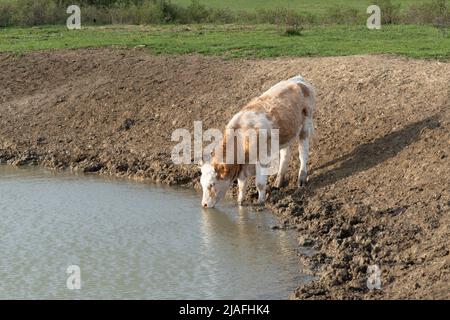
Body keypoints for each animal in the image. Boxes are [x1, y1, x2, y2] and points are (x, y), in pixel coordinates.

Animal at [200, 76, 316, 209]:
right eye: (201, 184)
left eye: (212, 184)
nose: (204, 204)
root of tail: (299, 80)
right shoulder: (242, 167)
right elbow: (241, 186)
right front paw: (240, 203)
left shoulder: (262, 159)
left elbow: (259, 184)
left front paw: (260, 202)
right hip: (287, 133)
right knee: (285, 155)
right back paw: (278, 182)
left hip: (305, 126)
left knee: (303, 153)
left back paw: (301, 178)